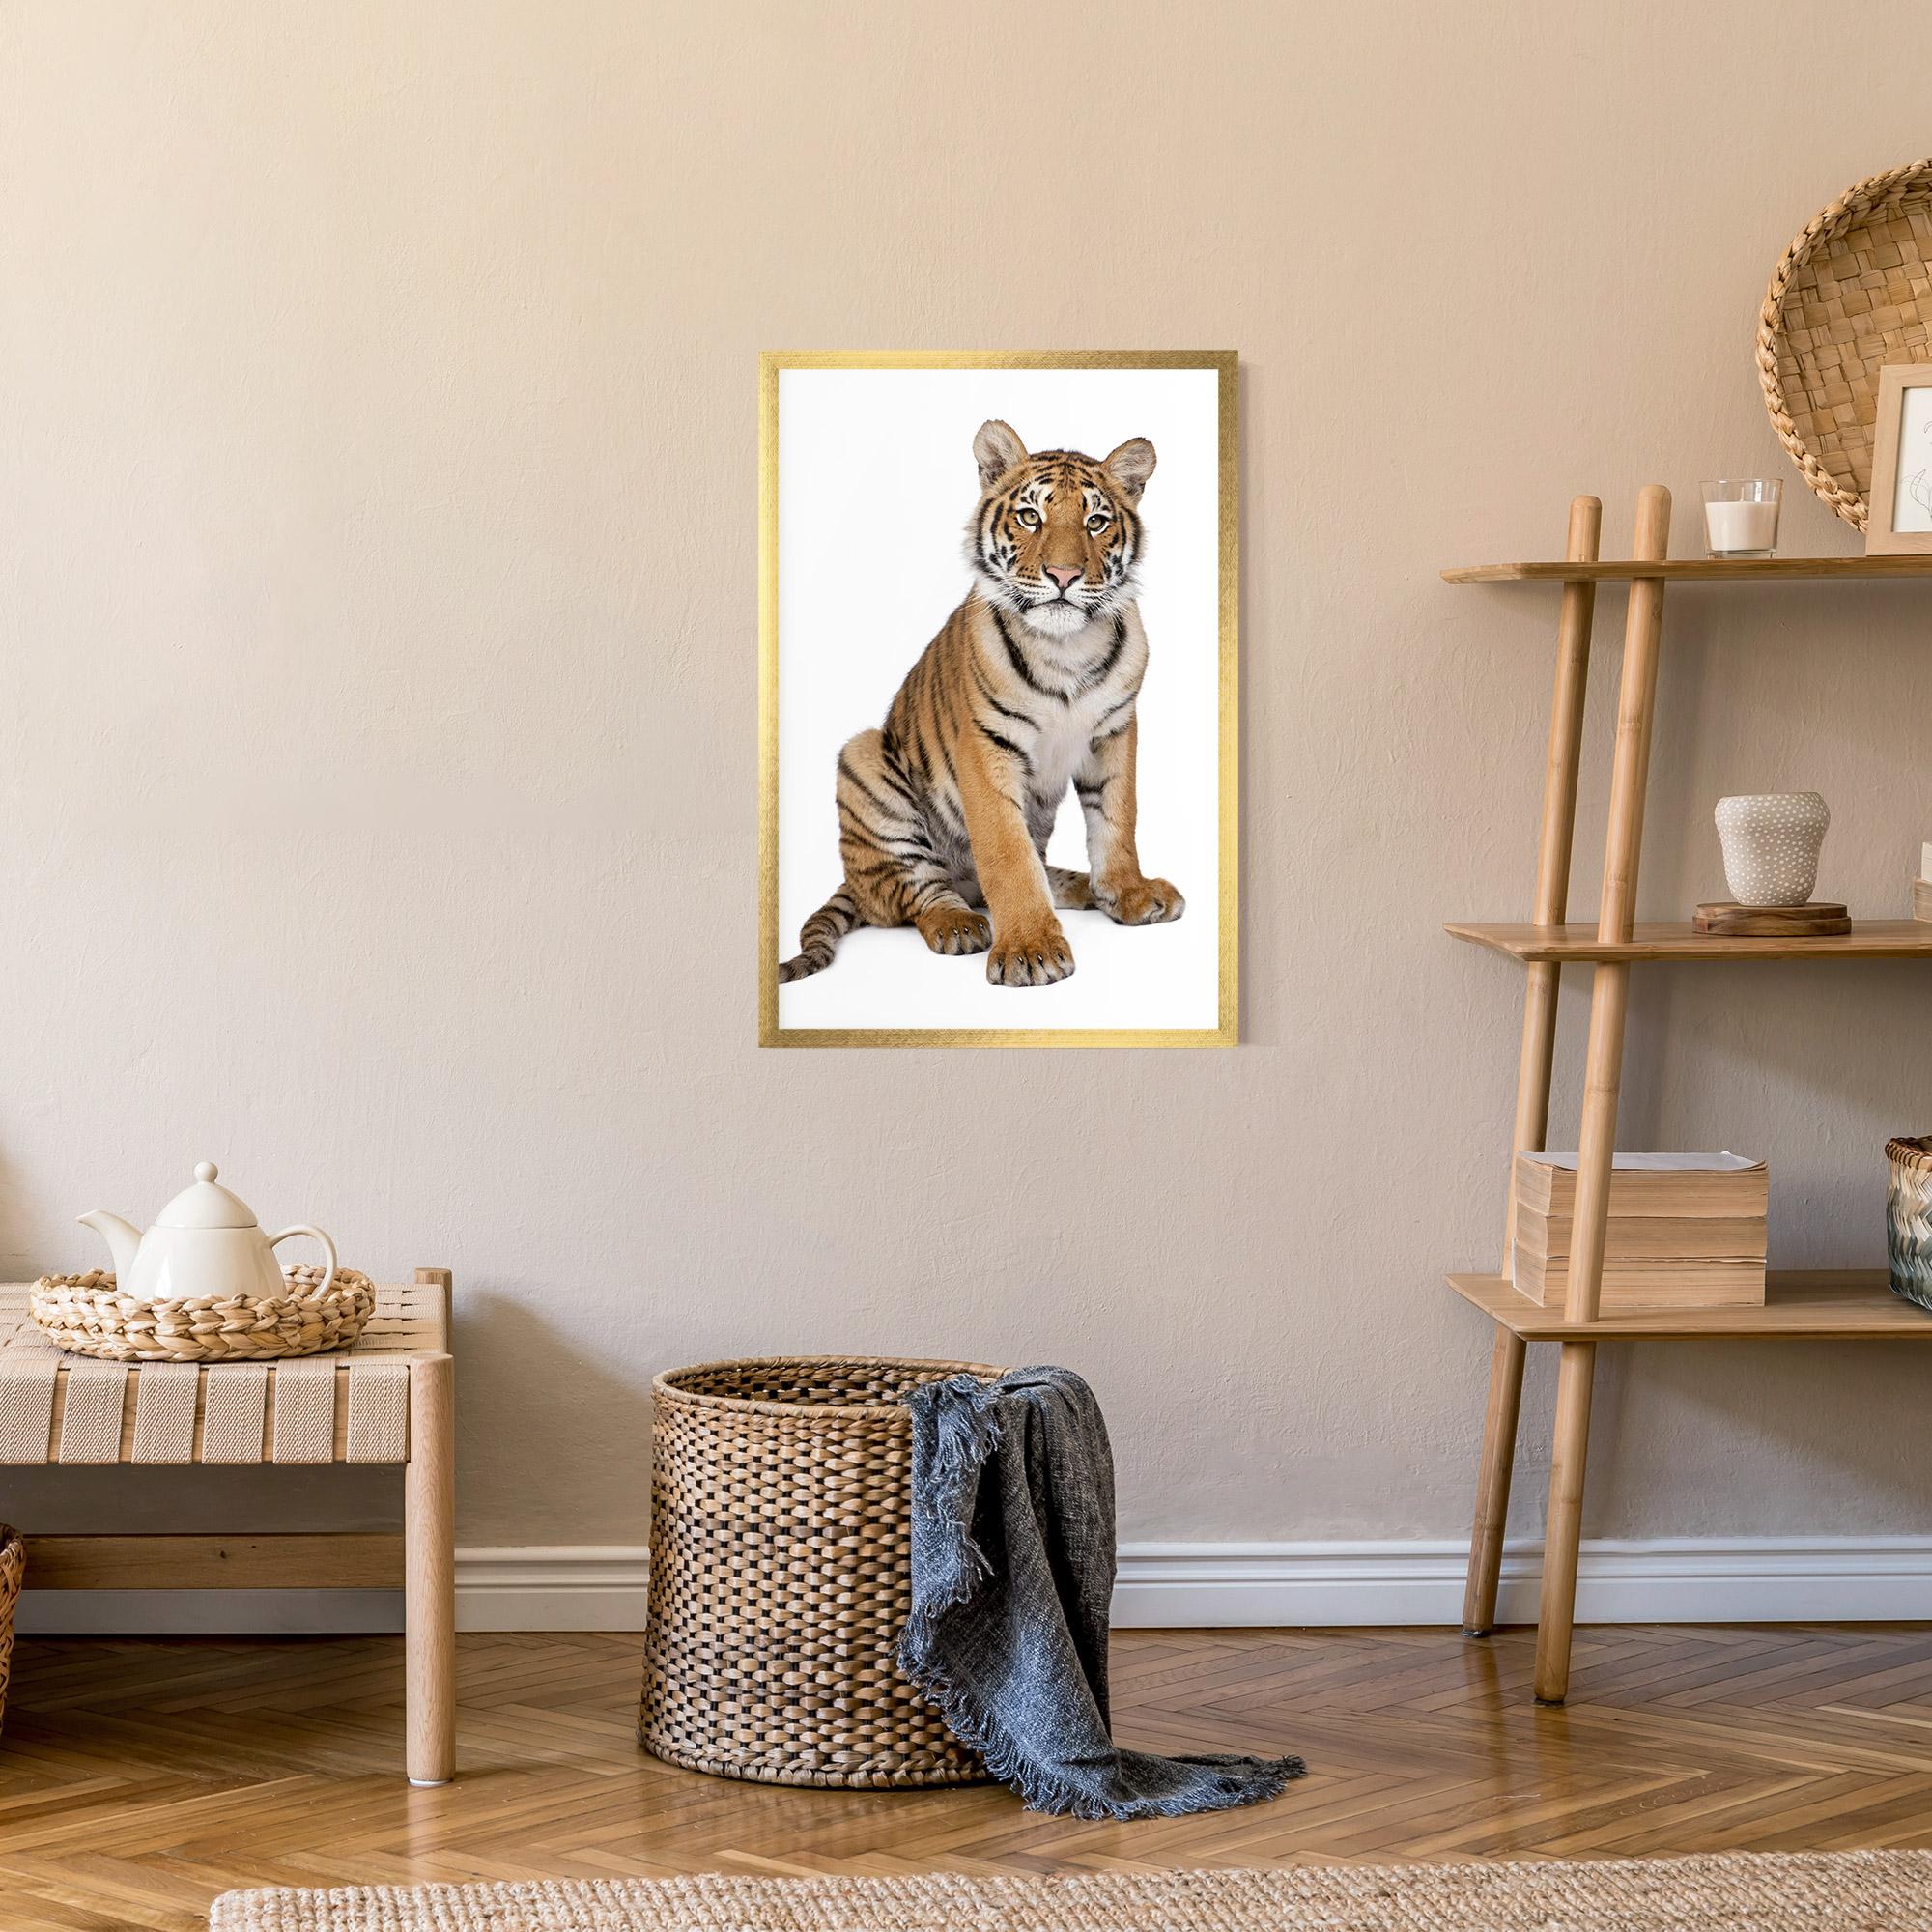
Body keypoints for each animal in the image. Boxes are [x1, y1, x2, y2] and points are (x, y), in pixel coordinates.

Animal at [778, 419, 1184, 988]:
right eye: (1031, 516)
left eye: (1097, 521)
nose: (1064, 575)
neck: (1066, 647)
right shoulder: (987, 745)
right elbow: (1007, 856)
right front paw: (1031, 951)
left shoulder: (1114, 732)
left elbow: (1117, 821)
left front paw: (1128, 893)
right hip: (863, 760)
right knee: (915, 893)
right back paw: (959, 924)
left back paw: (1081, 887)